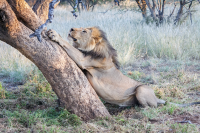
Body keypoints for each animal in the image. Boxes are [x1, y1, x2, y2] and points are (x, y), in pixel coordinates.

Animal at [47, 26, 200, 107]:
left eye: (84, 31)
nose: (71, 28)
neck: (94, 48)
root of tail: (156, 98)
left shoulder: (84, 60)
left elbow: (69, 46)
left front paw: (55, 34)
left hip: (141, 89)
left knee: (151, 106)